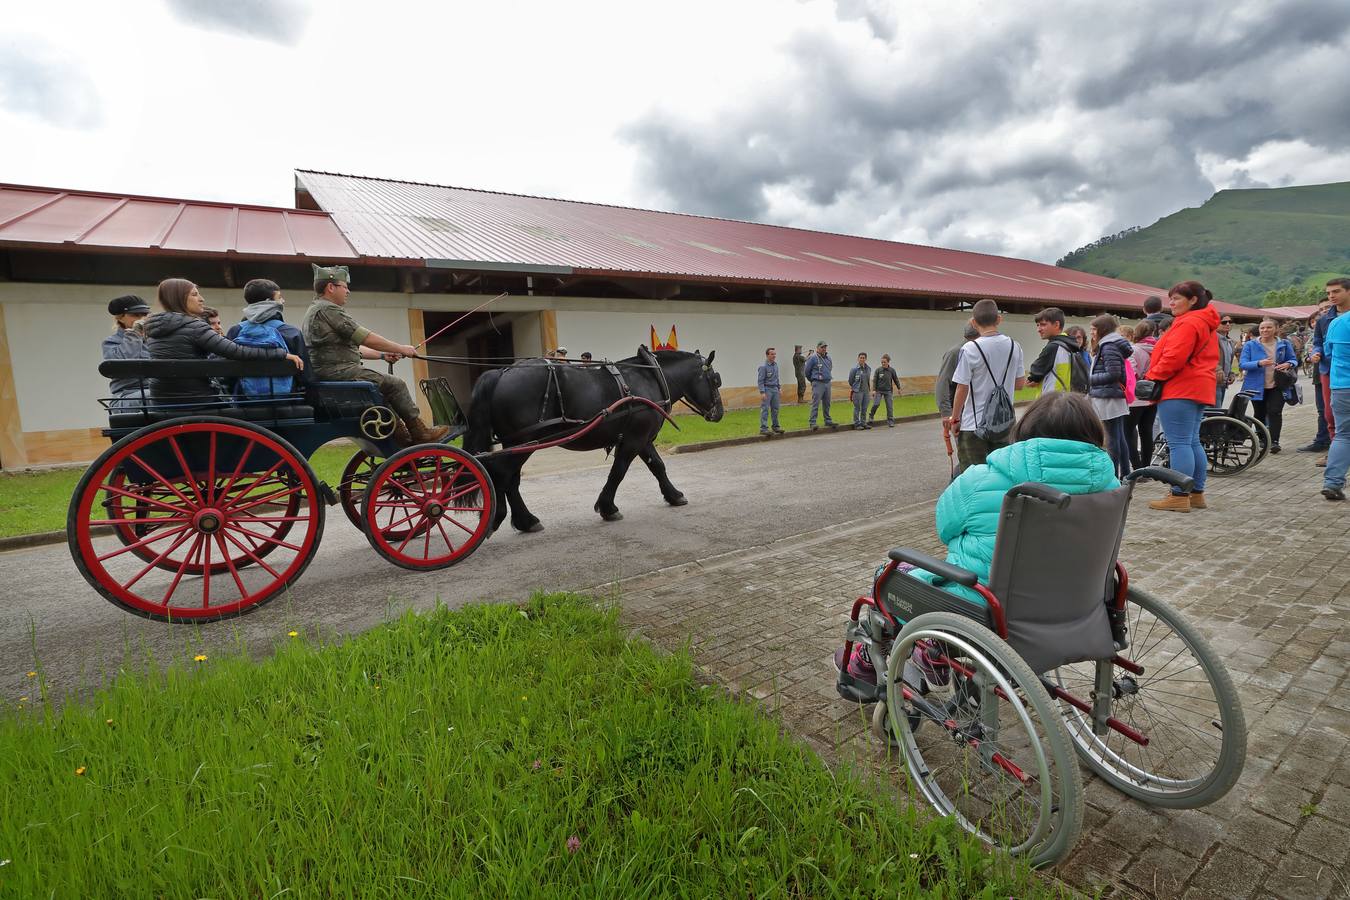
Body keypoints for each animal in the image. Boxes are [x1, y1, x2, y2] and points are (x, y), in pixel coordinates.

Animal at [464, 348, 723, 531]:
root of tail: (501, 373)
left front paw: (673, 495)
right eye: (715, 380)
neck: (649, 377)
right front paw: (607, 507)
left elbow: (657, 466)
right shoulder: (634, 439)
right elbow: (619, 471)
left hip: (517, 444)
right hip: (526, 441)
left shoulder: (642, 438)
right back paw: (505, 517)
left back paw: (523, 520)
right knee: (501, 474)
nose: (719, 413)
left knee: (509, 478)